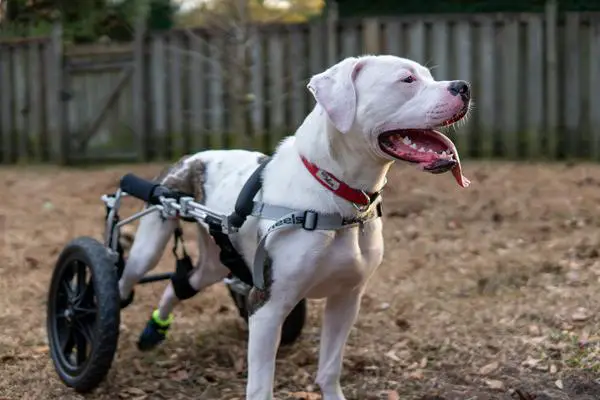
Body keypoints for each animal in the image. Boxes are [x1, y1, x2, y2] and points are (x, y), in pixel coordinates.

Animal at [118, 54, 474, 398]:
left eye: (429, 75)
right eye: (407, 79)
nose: (464, 86)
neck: (336, 194)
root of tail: (189, 158)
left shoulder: (346, 299)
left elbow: (329, 369)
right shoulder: (267, 308)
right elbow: (260, 387)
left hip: (216, 262)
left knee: (182, 282)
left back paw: (155, 330)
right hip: (150, 244)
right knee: (126, 278)